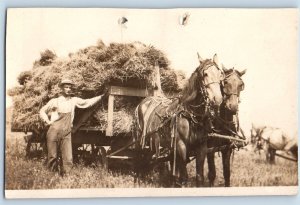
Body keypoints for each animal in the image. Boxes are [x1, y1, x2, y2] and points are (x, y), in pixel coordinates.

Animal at [135, 53, 224, 187]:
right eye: (205, 74)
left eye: (220, 75)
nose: (217, 100)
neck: (192, 116)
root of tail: (145, 101)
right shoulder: (181, 145)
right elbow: (184, 177)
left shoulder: (201, 147)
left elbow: (199, 177)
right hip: (142, 139)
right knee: (140, 157)